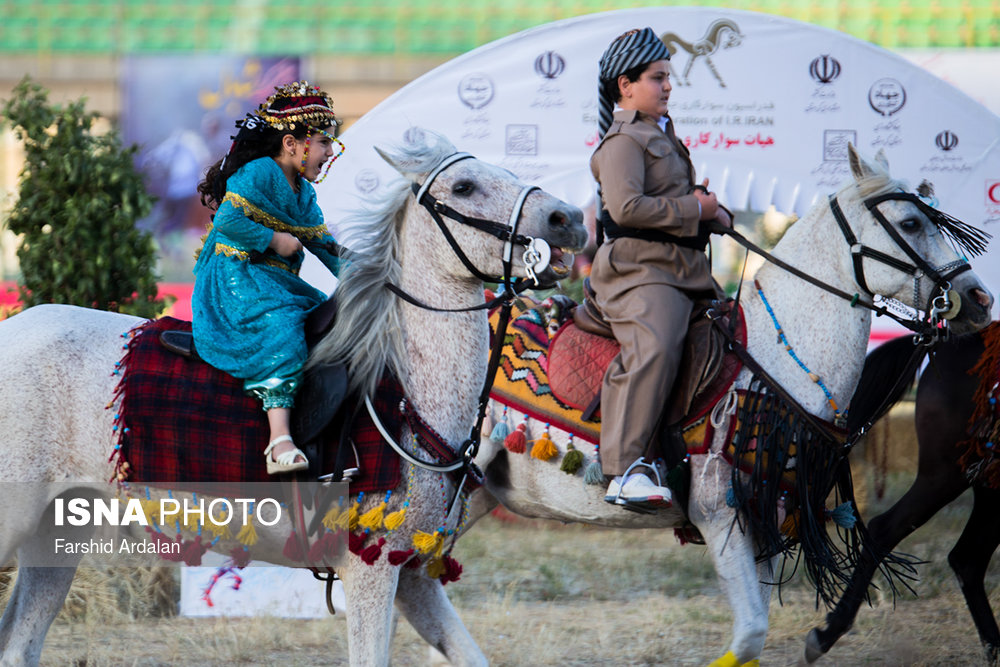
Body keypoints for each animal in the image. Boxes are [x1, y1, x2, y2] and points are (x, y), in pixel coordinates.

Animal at [0, 132, 588, 667]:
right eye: (463, 186)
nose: (570, 218)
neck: (402, 390)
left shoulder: (412, 574)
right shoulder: (371, 569)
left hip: (54, 534)